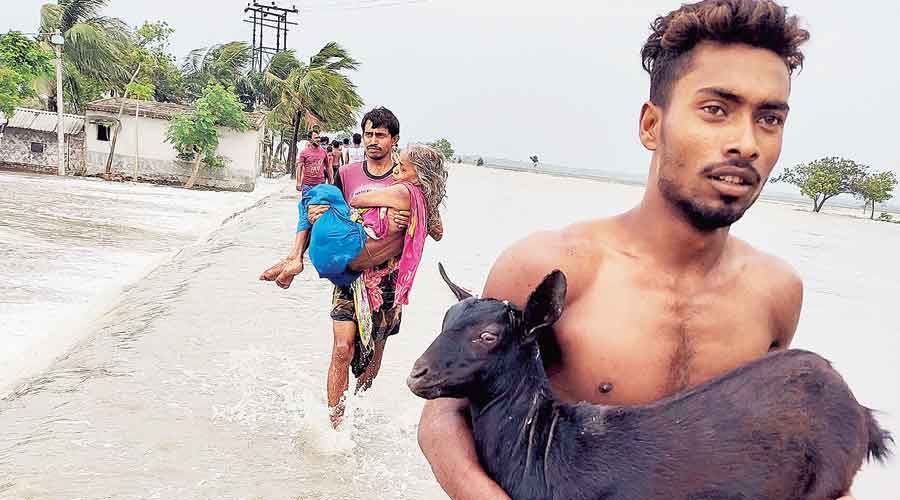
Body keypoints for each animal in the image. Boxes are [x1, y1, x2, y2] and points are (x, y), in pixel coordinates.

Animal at [410, 266, 892, 500]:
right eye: (446, 318)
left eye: (488, 336)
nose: (418, 373)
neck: (544, 450)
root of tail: (861, 413)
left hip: (825, 482)